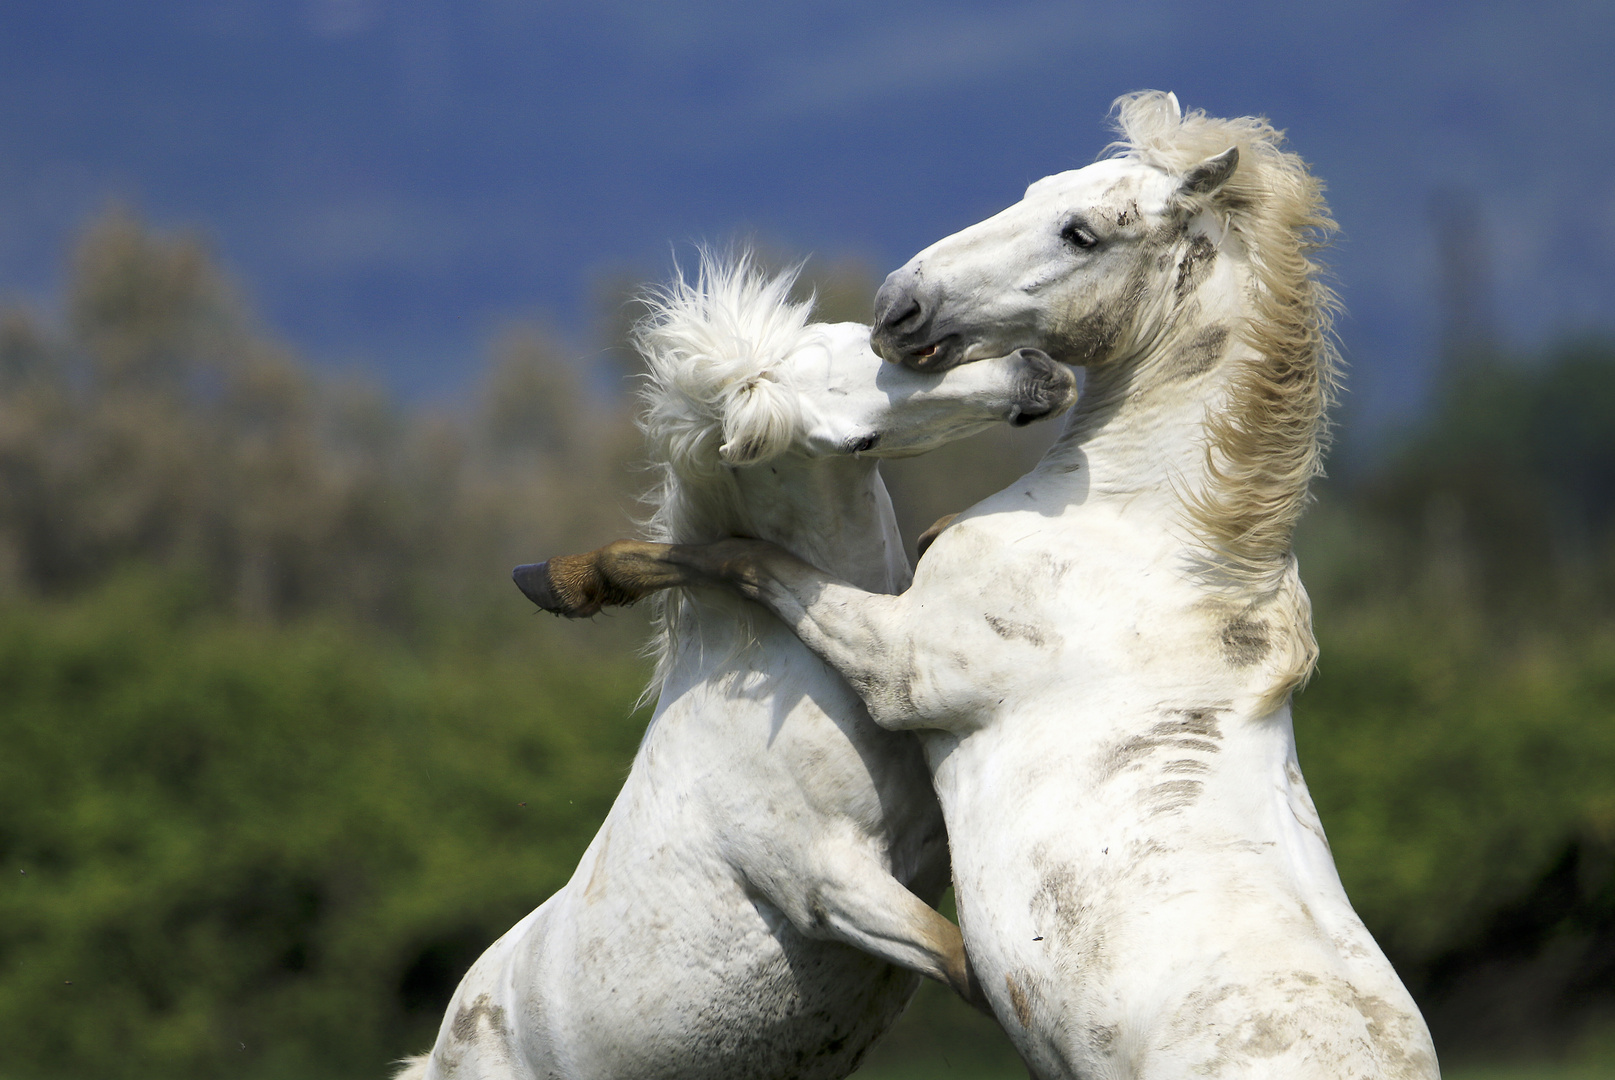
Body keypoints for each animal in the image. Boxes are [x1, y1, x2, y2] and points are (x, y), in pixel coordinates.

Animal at [392, 256, 1078, 1071]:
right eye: (855, 438)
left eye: (868, 337)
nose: (1037, 372)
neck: (788, 690)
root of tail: (439, 1050)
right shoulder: (831, 884)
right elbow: (970, 970)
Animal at [516, 94, 1440, 1078]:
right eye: (1038, 188)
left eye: (1081, 233)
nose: (899, 303)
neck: (1141, 531)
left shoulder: (899, 664)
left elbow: (742, 560)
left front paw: (569, 581)